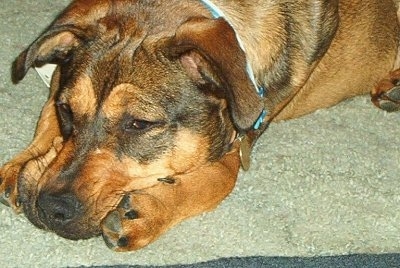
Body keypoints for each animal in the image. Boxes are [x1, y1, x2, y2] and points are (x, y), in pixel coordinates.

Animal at [0, 0, 400, 251]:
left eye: (139, 123)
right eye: (67, 110)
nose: (51, 209)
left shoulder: (242, 130)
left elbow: (221, 177)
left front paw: (149, 212)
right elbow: (45, 119)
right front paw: (25, 164)